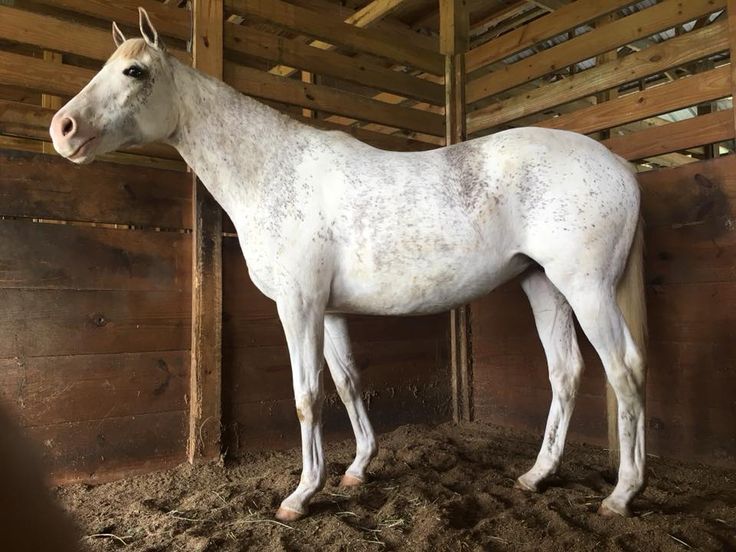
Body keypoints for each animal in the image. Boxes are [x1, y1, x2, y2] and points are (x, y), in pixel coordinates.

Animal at [49, 10, 648, 524]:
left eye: (134, 70)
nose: (63, 128)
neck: (274, 171)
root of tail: (620, 167)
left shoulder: (299, 308)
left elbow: (307, 397)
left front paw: (300, 496)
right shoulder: (330, 311)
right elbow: (348, 383)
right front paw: (358, 469)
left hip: (587, 290)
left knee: (624, 371)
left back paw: (622, 495)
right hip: (542, 285)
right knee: (566, 372)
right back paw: (536, 476)